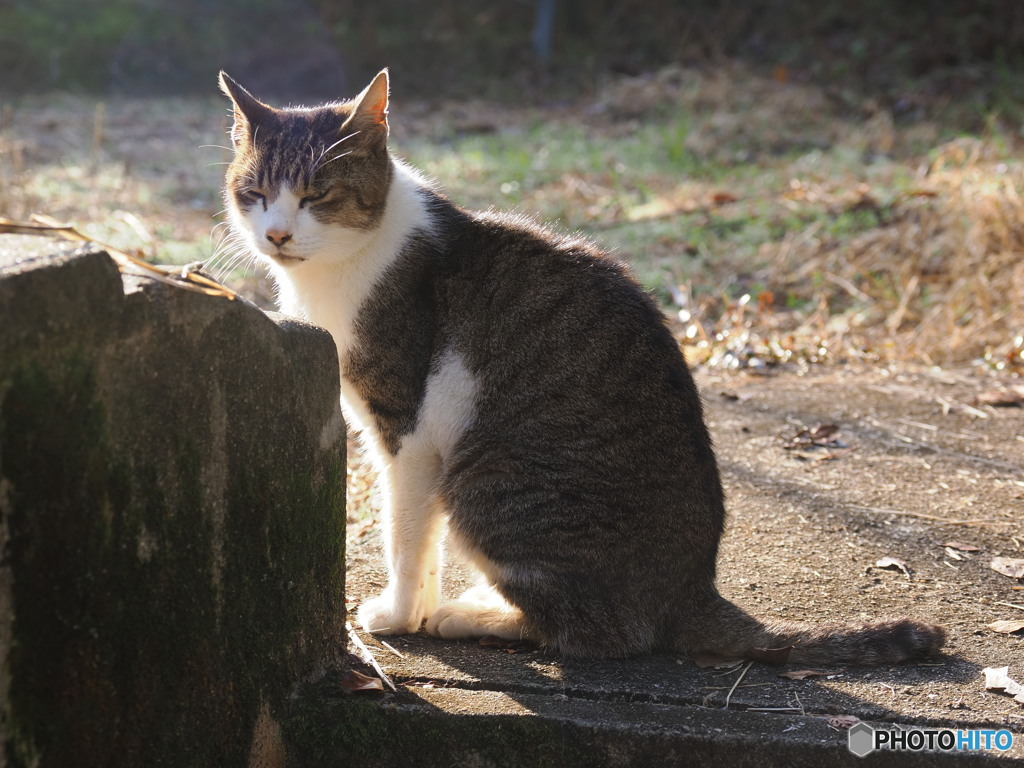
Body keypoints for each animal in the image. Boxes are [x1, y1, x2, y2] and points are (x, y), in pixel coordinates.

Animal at [220, 69, 946, 663]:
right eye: (254, 193)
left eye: (317, 194)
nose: (277, 234)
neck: (346, 266)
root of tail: (693, 589)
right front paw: (412, 610)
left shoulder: (406, 430)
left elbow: (406, 531)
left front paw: (402, 616)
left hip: (486, 484)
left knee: (602, 633)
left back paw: (470, 616)